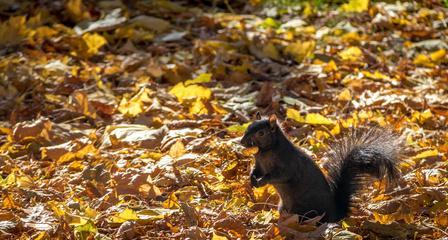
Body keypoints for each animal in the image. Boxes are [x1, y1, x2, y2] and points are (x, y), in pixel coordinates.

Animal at [242, 113, 402, 222]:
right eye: (248, 126)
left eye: (261, 133)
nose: (242, 141)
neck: (265, 151)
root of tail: (335, 214)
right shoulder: (259, 164)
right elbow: (256, 171)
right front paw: (252, 179)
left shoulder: (288, 164)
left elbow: (279, 175)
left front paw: (263, 181)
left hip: (305, 211)